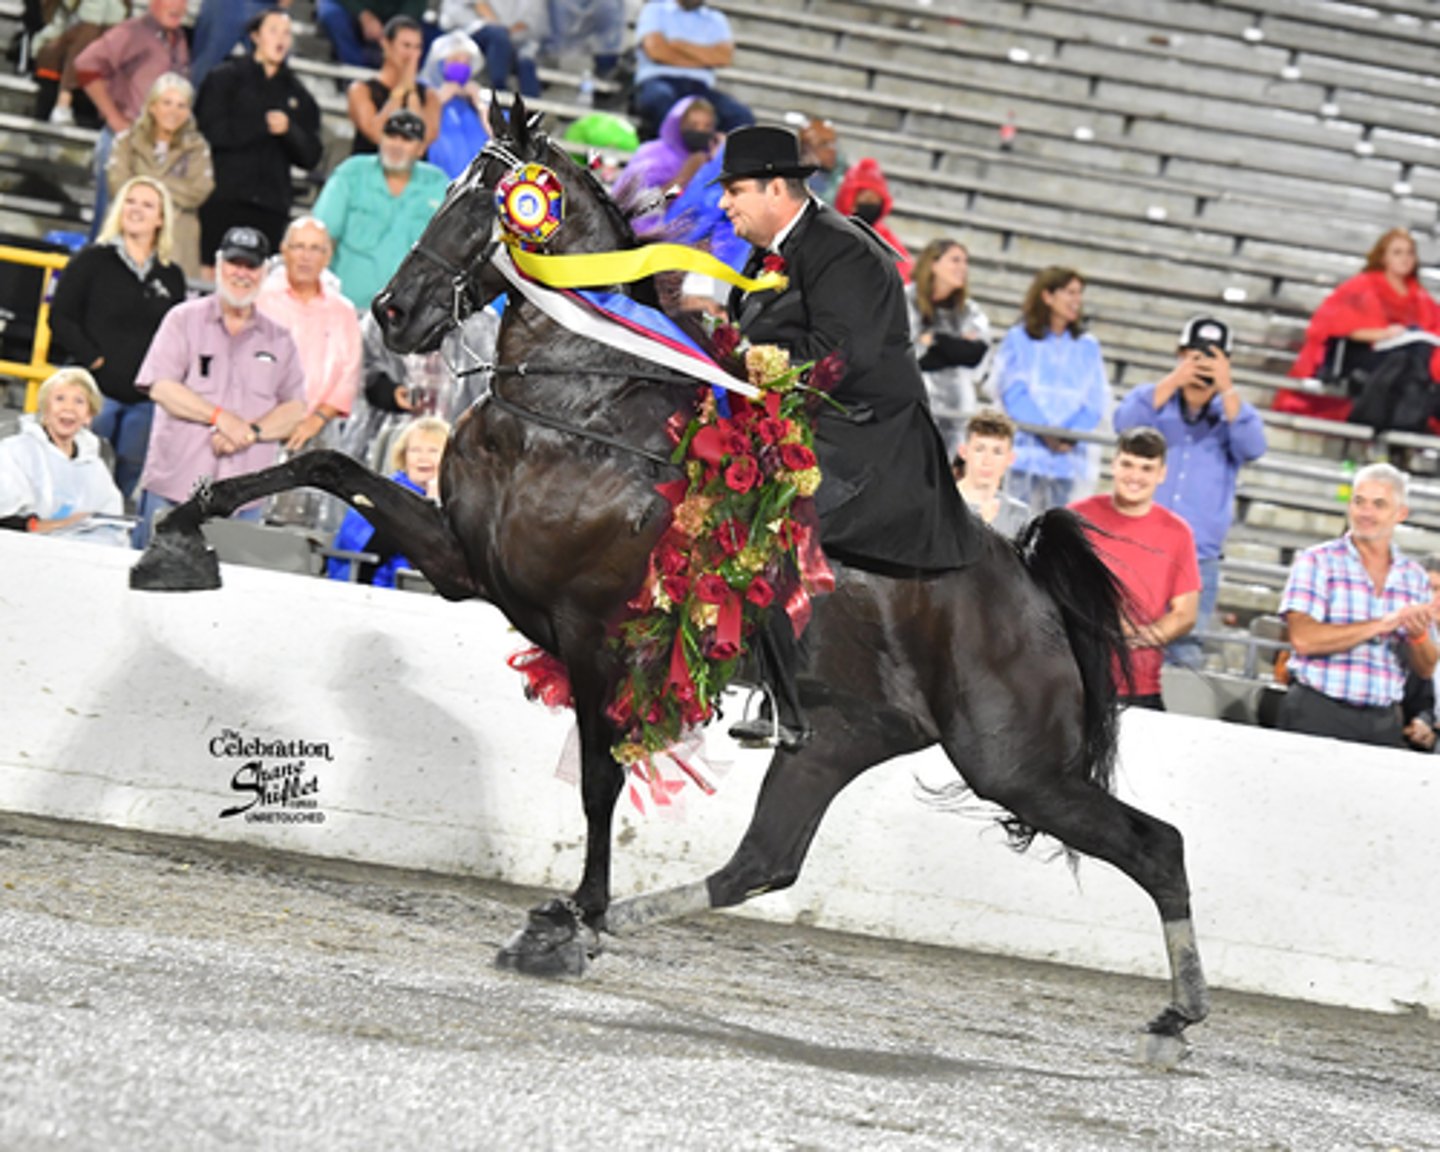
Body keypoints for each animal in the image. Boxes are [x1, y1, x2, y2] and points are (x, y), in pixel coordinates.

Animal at [130, 96, 1208, 1062]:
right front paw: (177, 539)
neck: (578, 406)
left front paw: (578, 909)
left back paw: (1178, 1019)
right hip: (845, 738)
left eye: (486, 205)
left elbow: (601, 781)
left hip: (1011, 759)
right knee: (763, 864)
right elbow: (322, 464)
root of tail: (1025, 584)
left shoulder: (593, 633)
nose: (395, 313)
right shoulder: (463, 562)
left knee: (1156, 845)